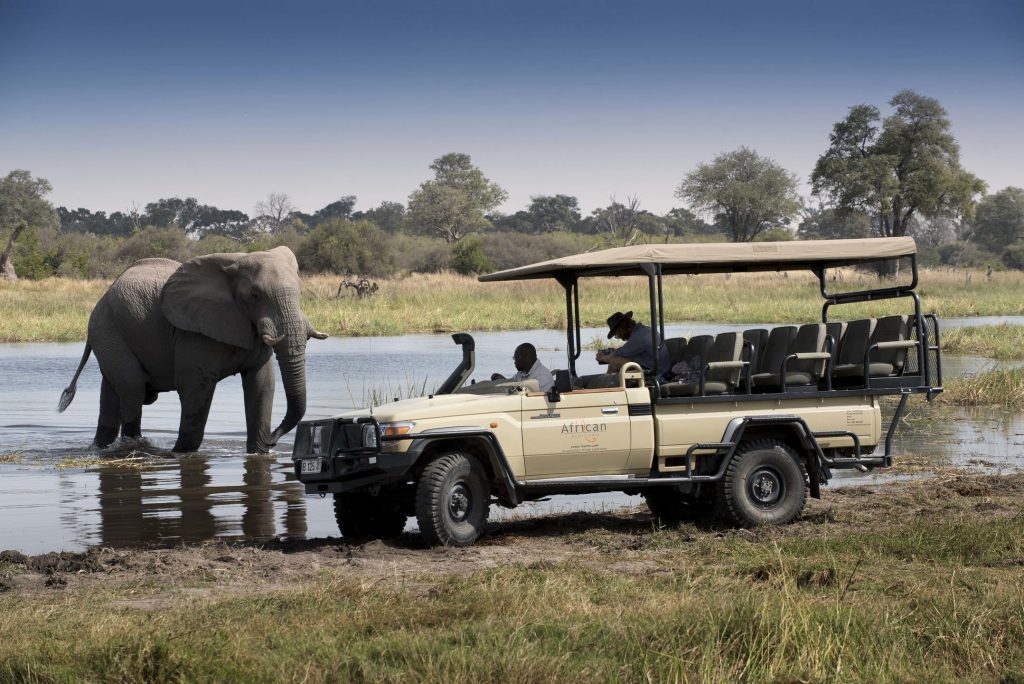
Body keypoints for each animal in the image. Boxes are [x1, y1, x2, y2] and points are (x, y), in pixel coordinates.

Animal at [57, 245, 327, 454]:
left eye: (300, 292)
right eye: (255, 295)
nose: (273, 440)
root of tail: (104, 295)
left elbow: (262, 385)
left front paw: (259, 453)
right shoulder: (194, 332)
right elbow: (196, 389)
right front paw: (181, 453)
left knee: (113, 393)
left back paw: (100, 448)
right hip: (107, 330)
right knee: (132, 390)